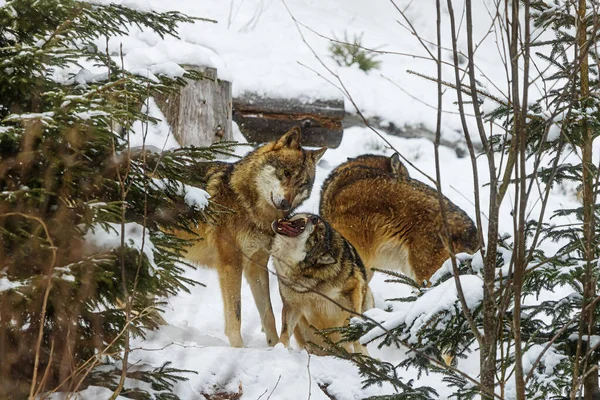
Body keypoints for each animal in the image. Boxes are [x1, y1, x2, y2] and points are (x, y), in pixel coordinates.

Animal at [178, 128, 326, 346]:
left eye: (301, 184)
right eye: (286, 173)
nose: (286, 204)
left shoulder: (257, 265)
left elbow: (268, 314)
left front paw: (274, 346)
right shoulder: (231, 263)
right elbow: (235, 313)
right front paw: (238, 348)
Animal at [270, 214, 370, 354]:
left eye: (316, 240)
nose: (314, 219)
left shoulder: (353, 287)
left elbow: (354, 325)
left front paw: (361, 352)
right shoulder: (291, 305)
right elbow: (285, 331)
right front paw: (279, 349)